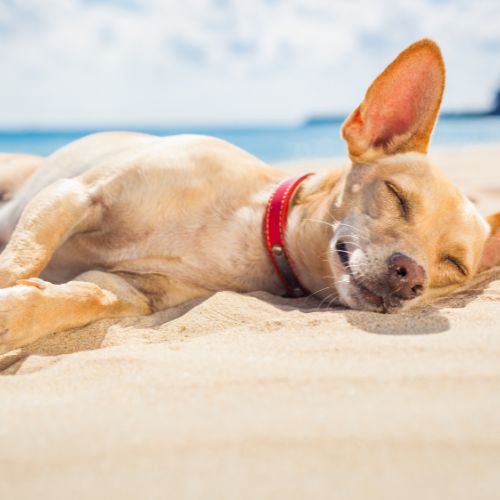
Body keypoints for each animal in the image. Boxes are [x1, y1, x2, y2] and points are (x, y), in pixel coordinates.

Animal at [0, 39, 500, 352]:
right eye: (397, 195)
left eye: (453, 265)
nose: (411, 275)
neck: (247, 229)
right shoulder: (77, 193)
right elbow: (21, 259)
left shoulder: (131, 289)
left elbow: (85, 296)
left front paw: (18, 314)